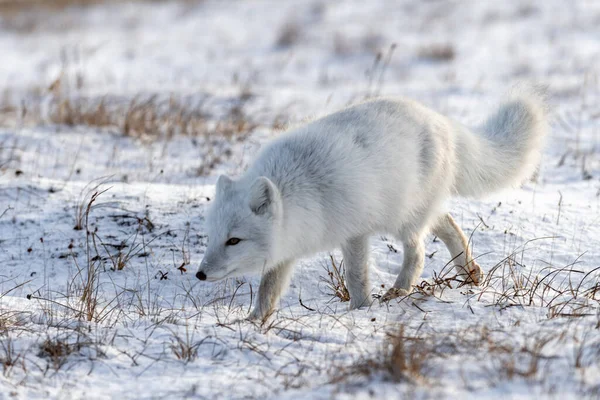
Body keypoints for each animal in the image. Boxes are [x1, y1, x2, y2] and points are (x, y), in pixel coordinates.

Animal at [196, 91, 548, 322]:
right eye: (212, 238)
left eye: (234, 240)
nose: (200, 274)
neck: (298, 190)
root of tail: (442, 120)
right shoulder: (286, 247)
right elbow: (268, 289)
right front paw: (253, 322)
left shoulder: (354, 232)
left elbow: (356, 277)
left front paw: (361, 310)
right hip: (413, 211)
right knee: (449, 225)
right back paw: (470, 273)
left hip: (404, 220)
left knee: (418, 253)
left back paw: (400, 291)